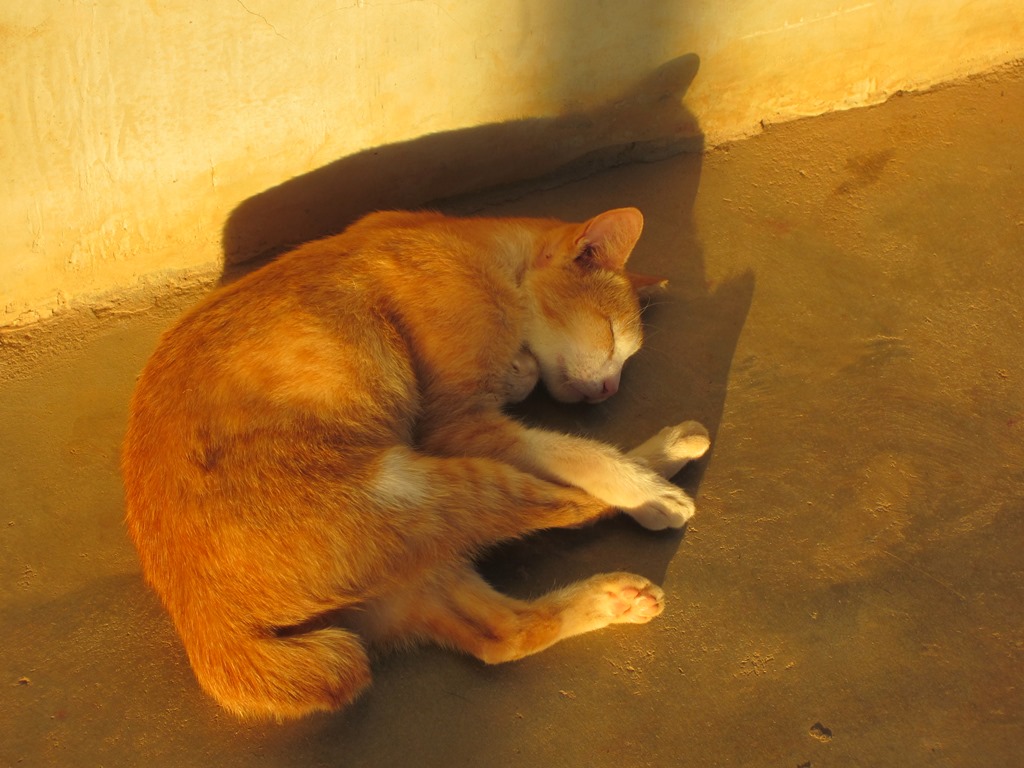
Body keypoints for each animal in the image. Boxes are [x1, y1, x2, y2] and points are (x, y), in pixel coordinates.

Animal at [119, 205, 708, 720]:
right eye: (609, 334)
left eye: (626, 357)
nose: (610, 389)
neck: (475, 245)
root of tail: (200, 620)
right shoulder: (457, 424)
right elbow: (576, 453)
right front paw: (641, 487)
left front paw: (522, 371)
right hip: (420, 482)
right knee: (569, 506)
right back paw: (658, 484)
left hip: (419, 564)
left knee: (510, 631)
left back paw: (622, 589)